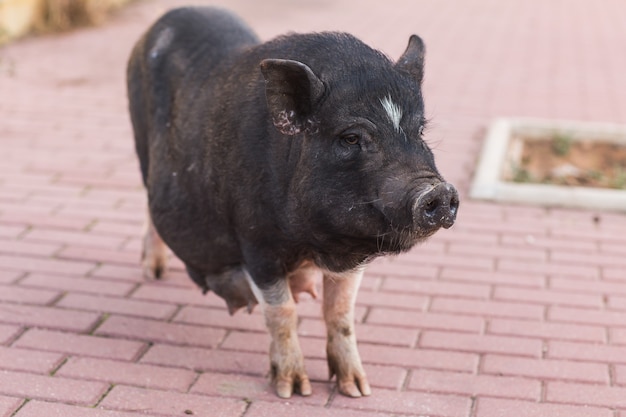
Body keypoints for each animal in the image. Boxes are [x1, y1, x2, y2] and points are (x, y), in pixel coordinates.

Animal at [128, 5, 458, 396]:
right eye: (351, 137)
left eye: (419, 130)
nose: (439, 192)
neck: (317, 243)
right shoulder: (255, 241)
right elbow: (281, 312)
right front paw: (293, 389)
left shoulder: (353, 255)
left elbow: (340, 312)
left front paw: (357, 389)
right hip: (141, 146)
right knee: (148, 203)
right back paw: (154, 273)